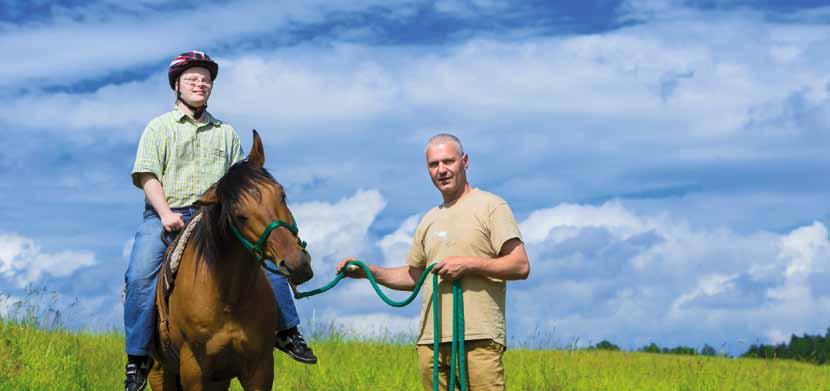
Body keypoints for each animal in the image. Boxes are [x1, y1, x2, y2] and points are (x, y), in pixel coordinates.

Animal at [150, 130, 316, 390]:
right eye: (240, 216)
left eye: (282, 194)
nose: (297, 264)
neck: (228, 297)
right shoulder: (193, 370)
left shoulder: (260, 368)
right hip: (159, 372)